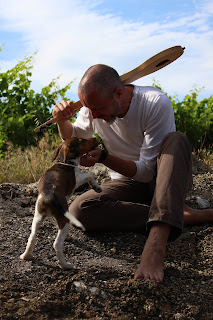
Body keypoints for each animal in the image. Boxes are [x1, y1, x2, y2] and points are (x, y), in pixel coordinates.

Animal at [20, 136, 102, 268]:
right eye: (82, 140)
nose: (95, 138)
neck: (65, 162)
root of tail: (49, 197)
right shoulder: (77, 179)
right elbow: (89, 175)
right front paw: (97, 187)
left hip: (37, 217)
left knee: (32, 238)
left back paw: (25, 256)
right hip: (65, 219)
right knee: (57, 244)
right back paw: (65, 265)